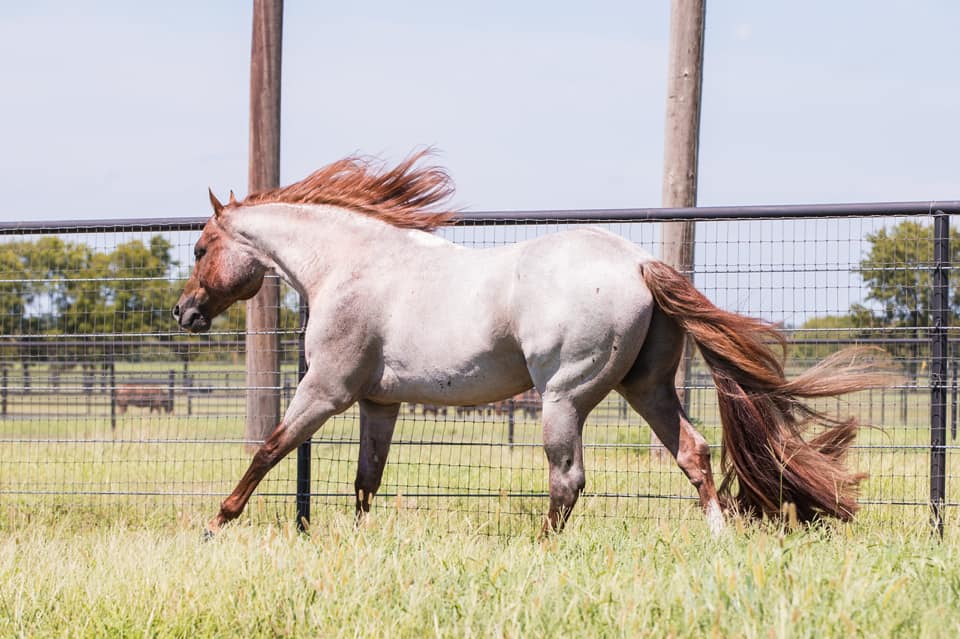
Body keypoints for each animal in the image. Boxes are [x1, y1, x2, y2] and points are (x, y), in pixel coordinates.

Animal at [174, 152, 900, 536]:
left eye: (202, 247)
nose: (185, 312)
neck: (350, 263)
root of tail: (639, 262)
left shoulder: (326, 390)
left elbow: (269, 448)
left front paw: (216, 522)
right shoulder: (380, 402)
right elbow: (365, 479)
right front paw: (358, 538)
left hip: (563, 397)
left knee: (568, 477)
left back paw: (541, 546)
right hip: (647, 389)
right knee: (693, 453)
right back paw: (718, 537)